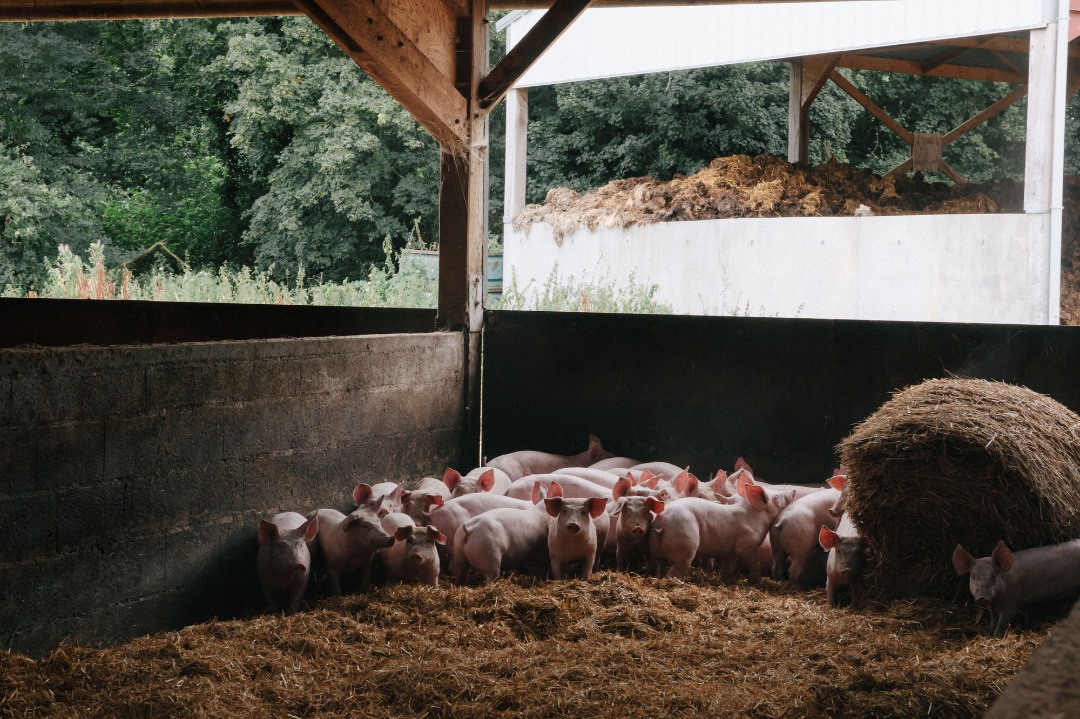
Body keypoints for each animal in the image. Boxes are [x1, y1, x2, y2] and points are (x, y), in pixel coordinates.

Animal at [643, 472, 799, 578]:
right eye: (777, 497)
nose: (793, 491)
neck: (755, 517)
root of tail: (661, 525)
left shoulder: (729, 552)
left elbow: (727, 567)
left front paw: (727, 579)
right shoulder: (746, 544)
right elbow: (754, 564)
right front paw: (755, 580)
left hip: (656, 550)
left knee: (660, 567)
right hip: (685, 543)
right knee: (674, 571)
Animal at [950, 535, 1080, 634]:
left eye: (993, 576)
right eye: (973, 577)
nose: (982, 596)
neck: (996, 600)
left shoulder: (1011, 604)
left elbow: (1002, 625)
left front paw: (996, 636)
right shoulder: (992, 607)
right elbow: (993, 620)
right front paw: (990, 632)